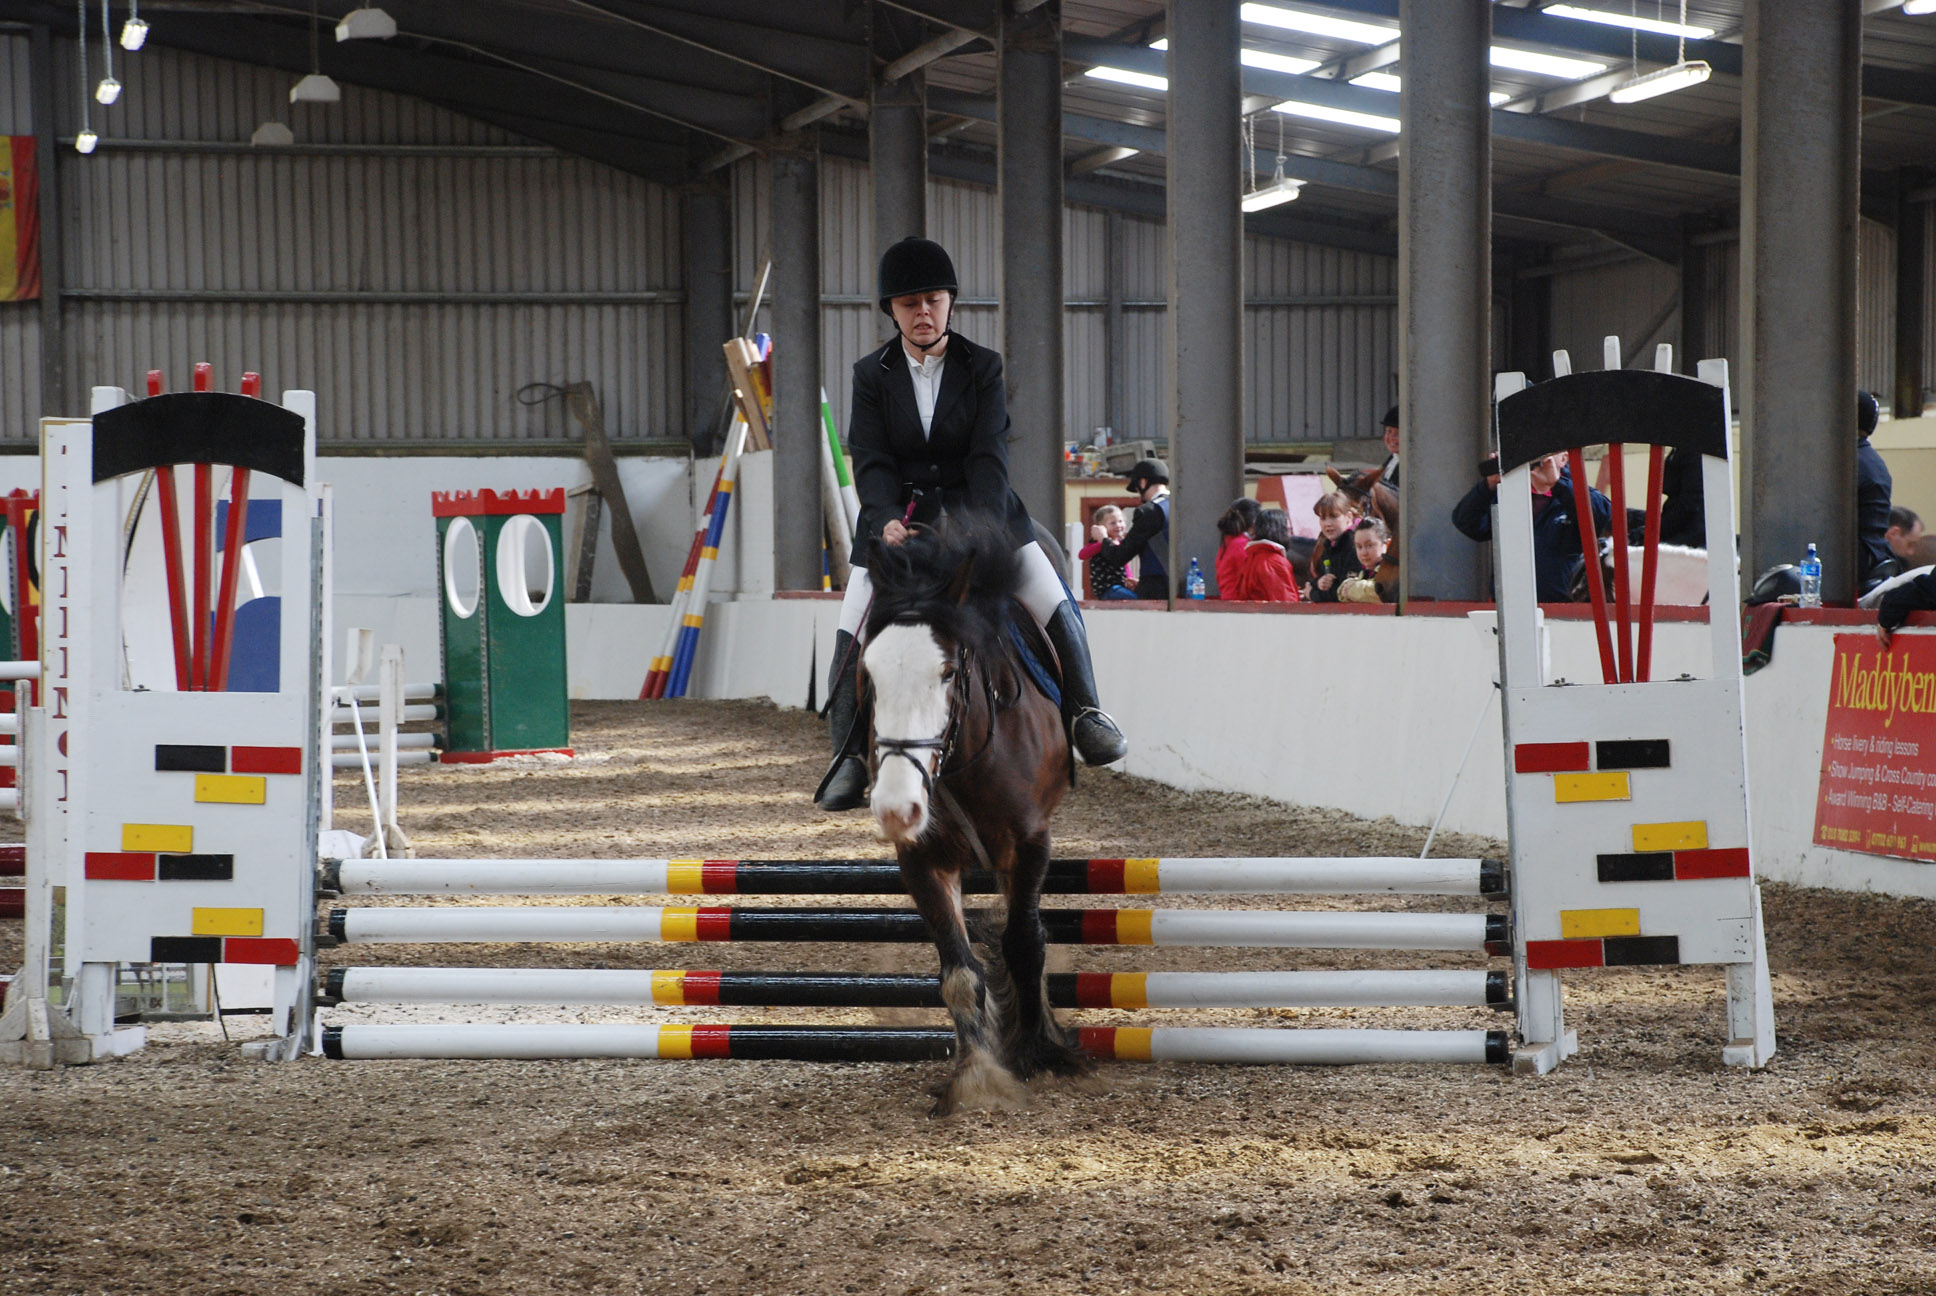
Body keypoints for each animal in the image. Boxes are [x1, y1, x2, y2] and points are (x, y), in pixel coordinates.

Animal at [859, 515, 1091, 1114]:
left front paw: (1038, 1053)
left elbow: (1023, 943)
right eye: (868, 672)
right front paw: (975, 1076)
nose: (896, 808)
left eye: (946, 671)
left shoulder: (1030, 842)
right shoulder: (922, 858)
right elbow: (959, 971)